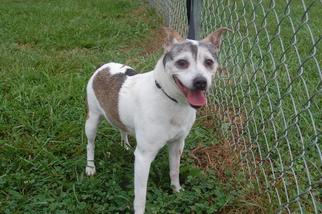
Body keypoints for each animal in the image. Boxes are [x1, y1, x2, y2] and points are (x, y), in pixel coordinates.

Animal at [85, 27, 231, 214]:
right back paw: (90, 167)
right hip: (92, 120)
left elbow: (174, 171)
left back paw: (125, 145)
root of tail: (104, 67)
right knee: (90, 144)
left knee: (122, 129)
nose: (201, 82)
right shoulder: (143, 157)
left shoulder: (177, 145)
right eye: (182, 63)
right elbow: (140, 194)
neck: (172, 100)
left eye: (209, 62)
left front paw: (177, 191)